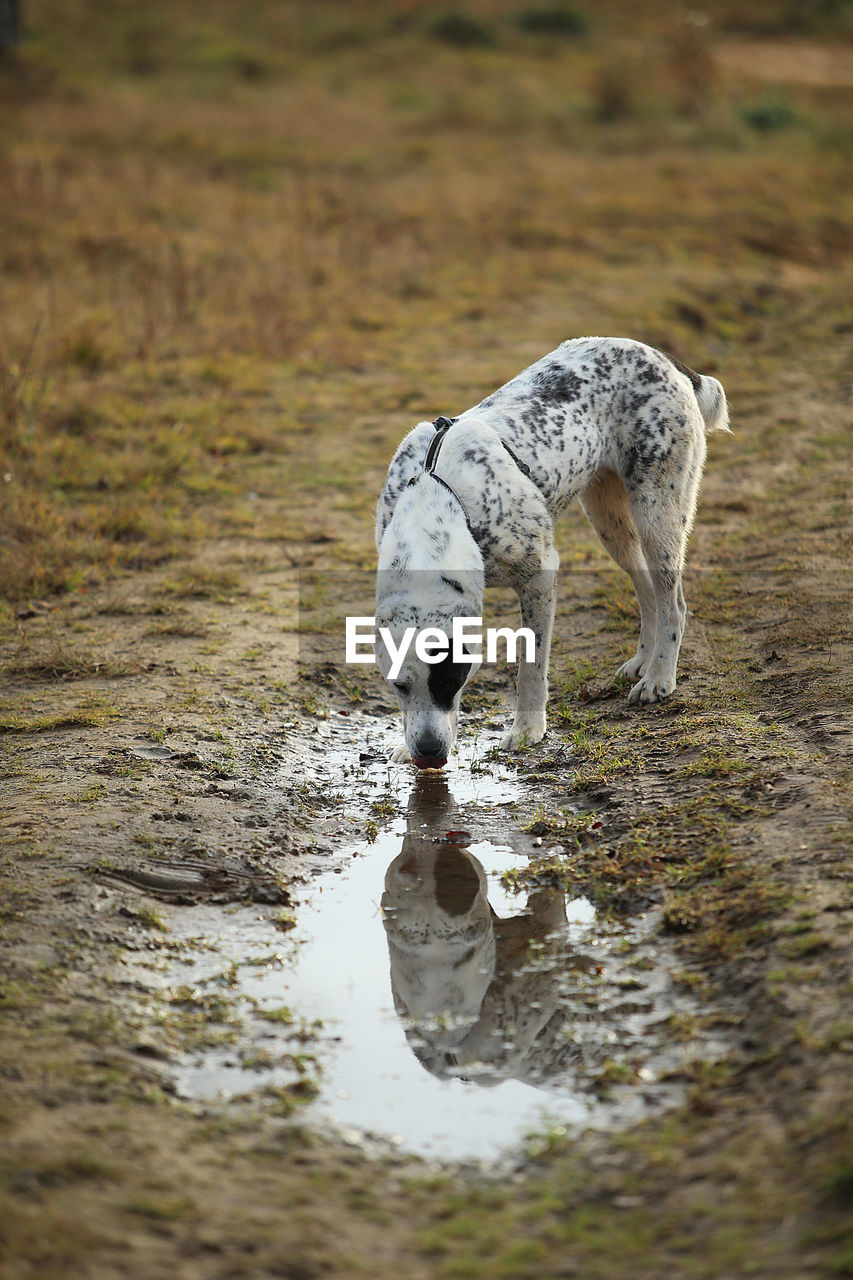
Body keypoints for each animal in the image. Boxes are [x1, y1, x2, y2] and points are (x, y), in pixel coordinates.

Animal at [376, 335, 727, 762]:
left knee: (673, 601)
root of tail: (661, 356)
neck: (438, 490)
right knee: (648, 593)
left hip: (657, 512)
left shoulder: (540, 575)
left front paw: (528, 730)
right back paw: (644, 662)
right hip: (611, 524)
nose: (427, 752)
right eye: (399, 686)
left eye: (450, 680)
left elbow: (531, 664)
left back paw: (659, 677)